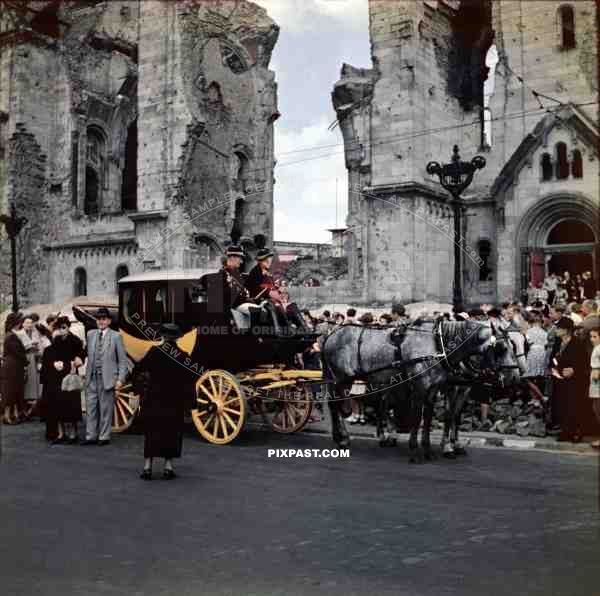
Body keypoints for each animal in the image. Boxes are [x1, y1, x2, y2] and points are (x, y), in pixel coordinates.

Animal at [318, 318, 520, 464]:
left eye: (513, 345)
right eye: (501, 348)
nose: (514, 377)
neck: (438, 346)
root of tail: (330, 334)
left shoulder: (435, 390)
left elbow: (432, 419)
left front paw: (430, 449)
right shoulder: (422, 388)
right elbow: (420, 418)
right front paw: (417, 451)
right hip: (342, 378)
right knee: (336, 405)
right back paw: (343, 438)